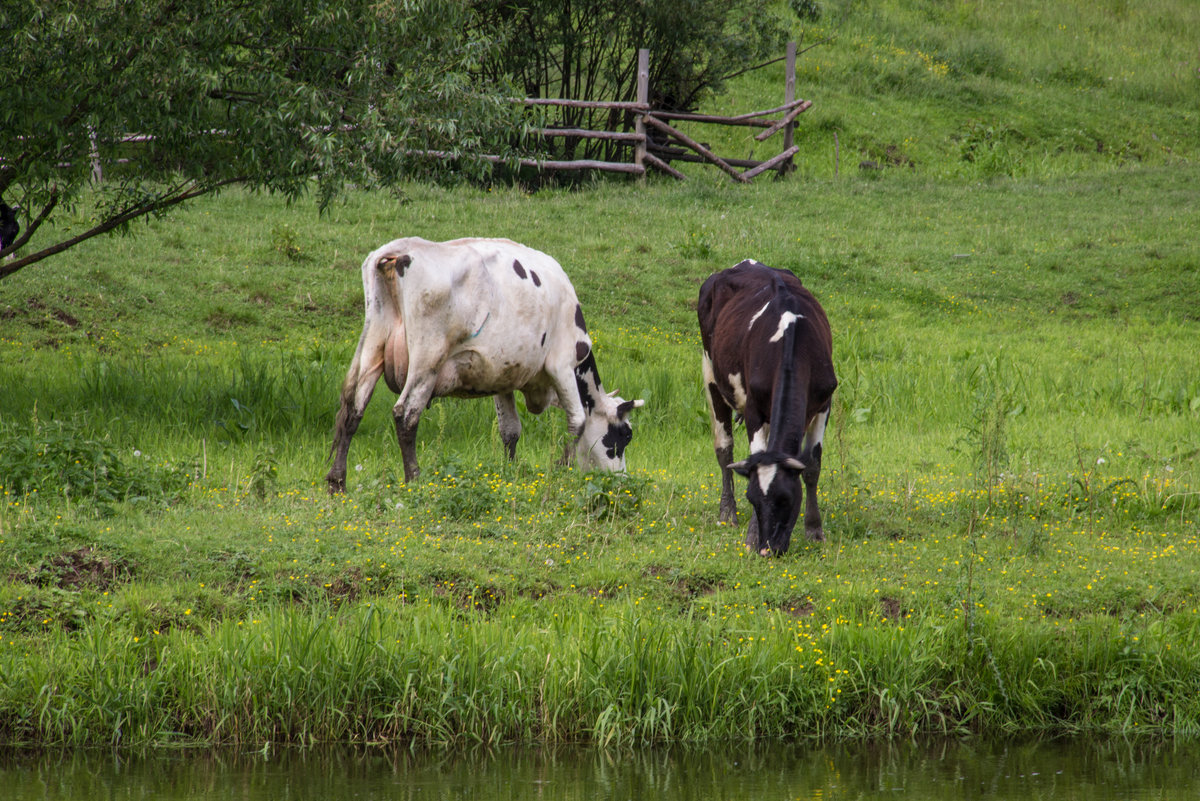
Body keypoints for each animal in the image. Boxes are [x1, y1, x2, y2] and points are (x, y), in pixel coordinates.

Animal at [326, 235, 648, 491]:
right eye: (624, 435)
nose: (622, 480)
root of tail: (403, 248)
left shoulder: (502, 375)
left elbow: (510, 430)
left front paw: (510, 472)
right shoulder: (562, 365)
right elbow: (578, 421)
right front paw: (562, 466)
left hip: (372, 346)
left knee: (353, 409)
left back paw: (337, 482)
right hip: (427, 360)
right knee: (405, 414)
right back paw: (414, 479)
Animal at [700, 260, 840, 553]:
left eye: (786, 499)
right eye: (752, 499)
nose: (767, 549)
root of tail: (746, 262)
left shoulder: (825, 402)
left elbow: (812, 466)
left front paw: (814, 530)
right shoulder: (753, 408)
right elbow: (754, 454)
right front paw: (752, 536)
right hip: (710, 372)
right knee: (724, 448)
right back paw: (727, 513)